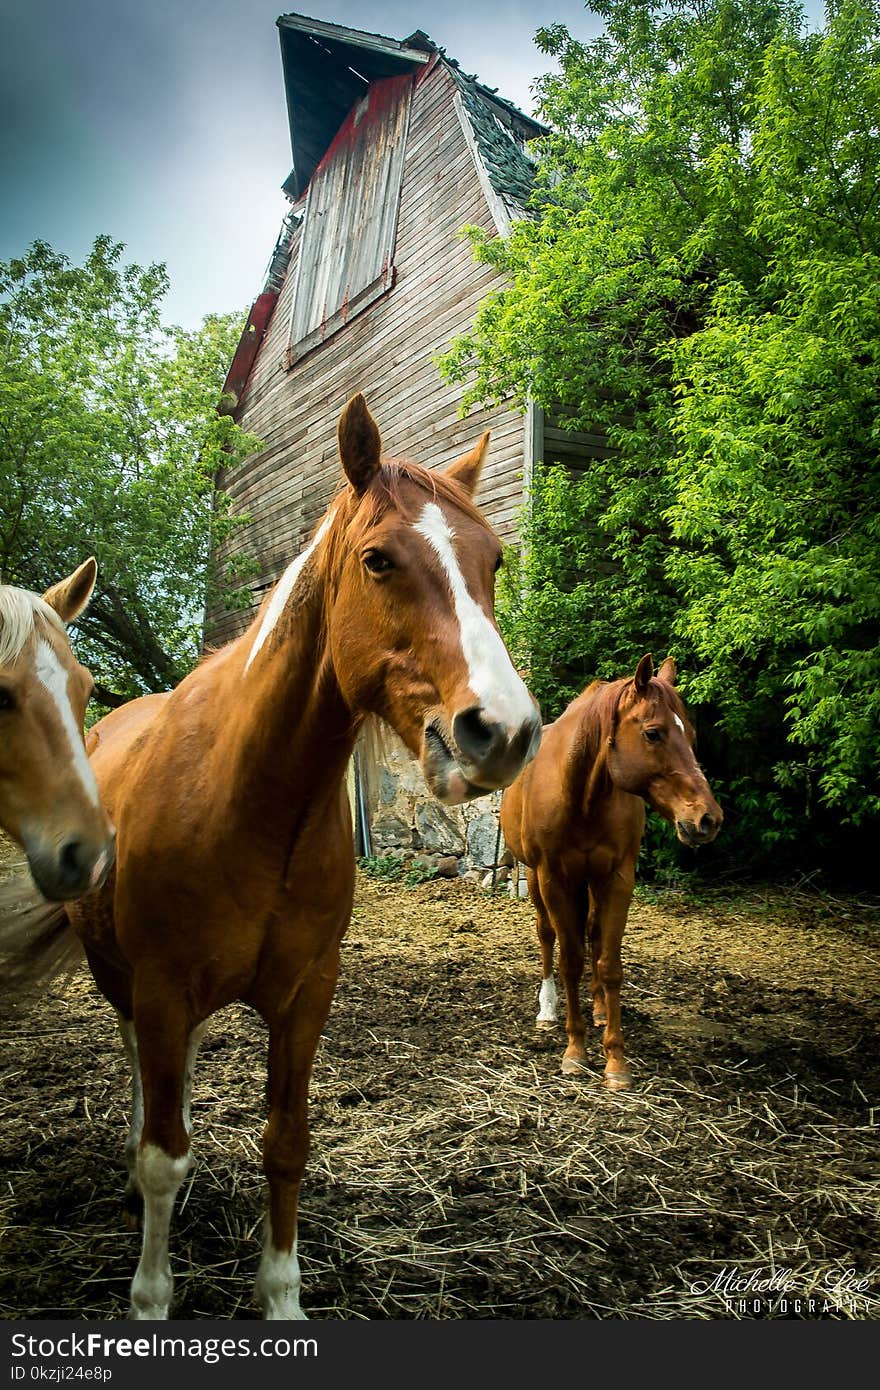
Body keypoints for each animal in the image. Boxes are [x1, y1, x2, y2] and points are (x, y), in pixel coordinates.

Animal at [500, 656, 722, 1089]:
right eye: (653, 733)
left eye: (691, 734)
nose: (707, 819)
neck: (581, 794)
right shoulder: (554, 879)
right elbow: (570, 959)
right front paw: (575, 1051)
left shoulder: (617, 878)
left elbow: (609, 961)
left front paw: (615, 1060)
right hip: (535, 879)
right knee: (547, 936)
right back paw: (548, 1010)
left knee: (594, 935)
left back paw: (600, 1008)